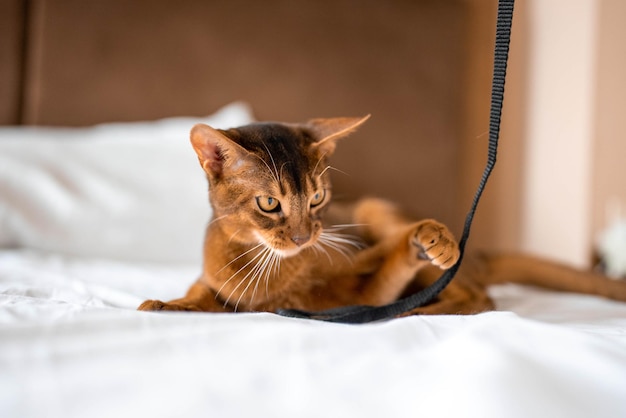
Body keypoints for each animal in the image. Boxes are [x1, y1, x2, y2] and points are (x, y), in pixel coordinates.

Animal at [139, 116, 624, 316]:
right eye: (269, 204)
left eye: (317, 198)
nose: (303, 238)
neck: (270, 270)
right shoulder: (219, 282)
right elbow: (202, 292)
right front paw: (174, 303)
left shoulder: (361, 288)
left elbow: (389, 261)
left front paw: (426, 238)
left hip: (378, 211)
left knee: (478, 298)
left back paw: (418, 308)